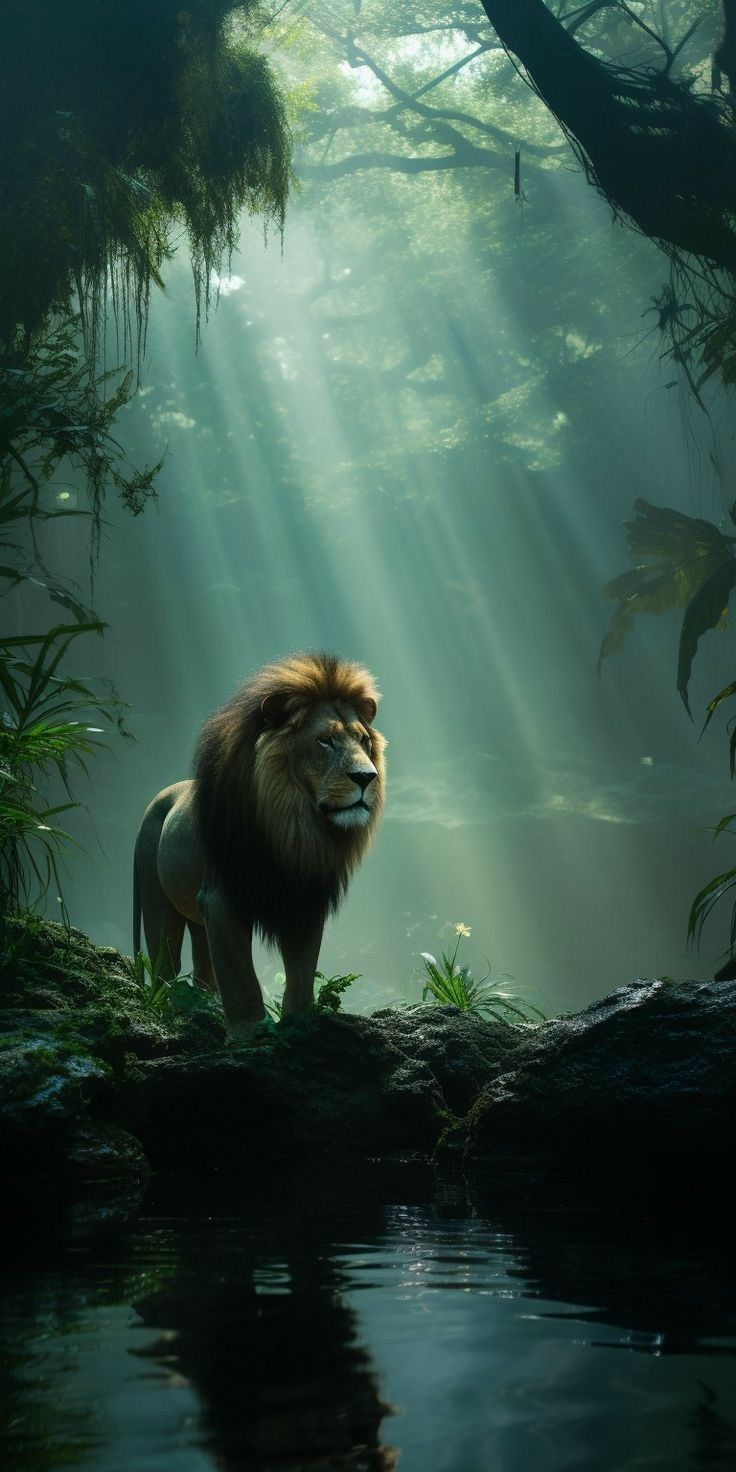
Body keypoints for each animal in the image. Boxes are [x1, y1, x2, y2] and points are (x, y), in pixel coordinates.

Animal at [133, 651, 386, 1041]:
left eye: (363, 741)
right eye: (325, 741)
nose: (366, 777)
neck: (290, 827)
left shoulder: (305, 897)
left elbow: (301, 969)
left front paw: (300, 1023)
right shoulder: (222, 897)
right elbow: (239, 975)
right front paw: (250, 1032)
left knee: (203, 963)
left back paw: (204, 1006)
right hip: (157, 899)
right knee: (166, 962)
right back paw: (168, 1009)